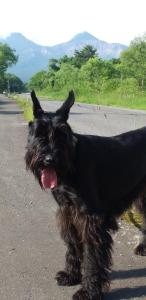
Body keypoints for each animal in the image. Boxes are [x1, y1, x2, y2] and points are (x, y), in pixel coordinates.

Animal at [25, 90, 146, 298]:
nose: (49, 160)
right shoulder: (67, 212)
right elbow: (73, 245)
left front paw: (89, 290)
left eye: (62, 134)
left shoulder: (91, 218)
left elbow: (91, 255)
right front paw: (71, 275)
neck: (72, 160)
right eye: (38, 133)